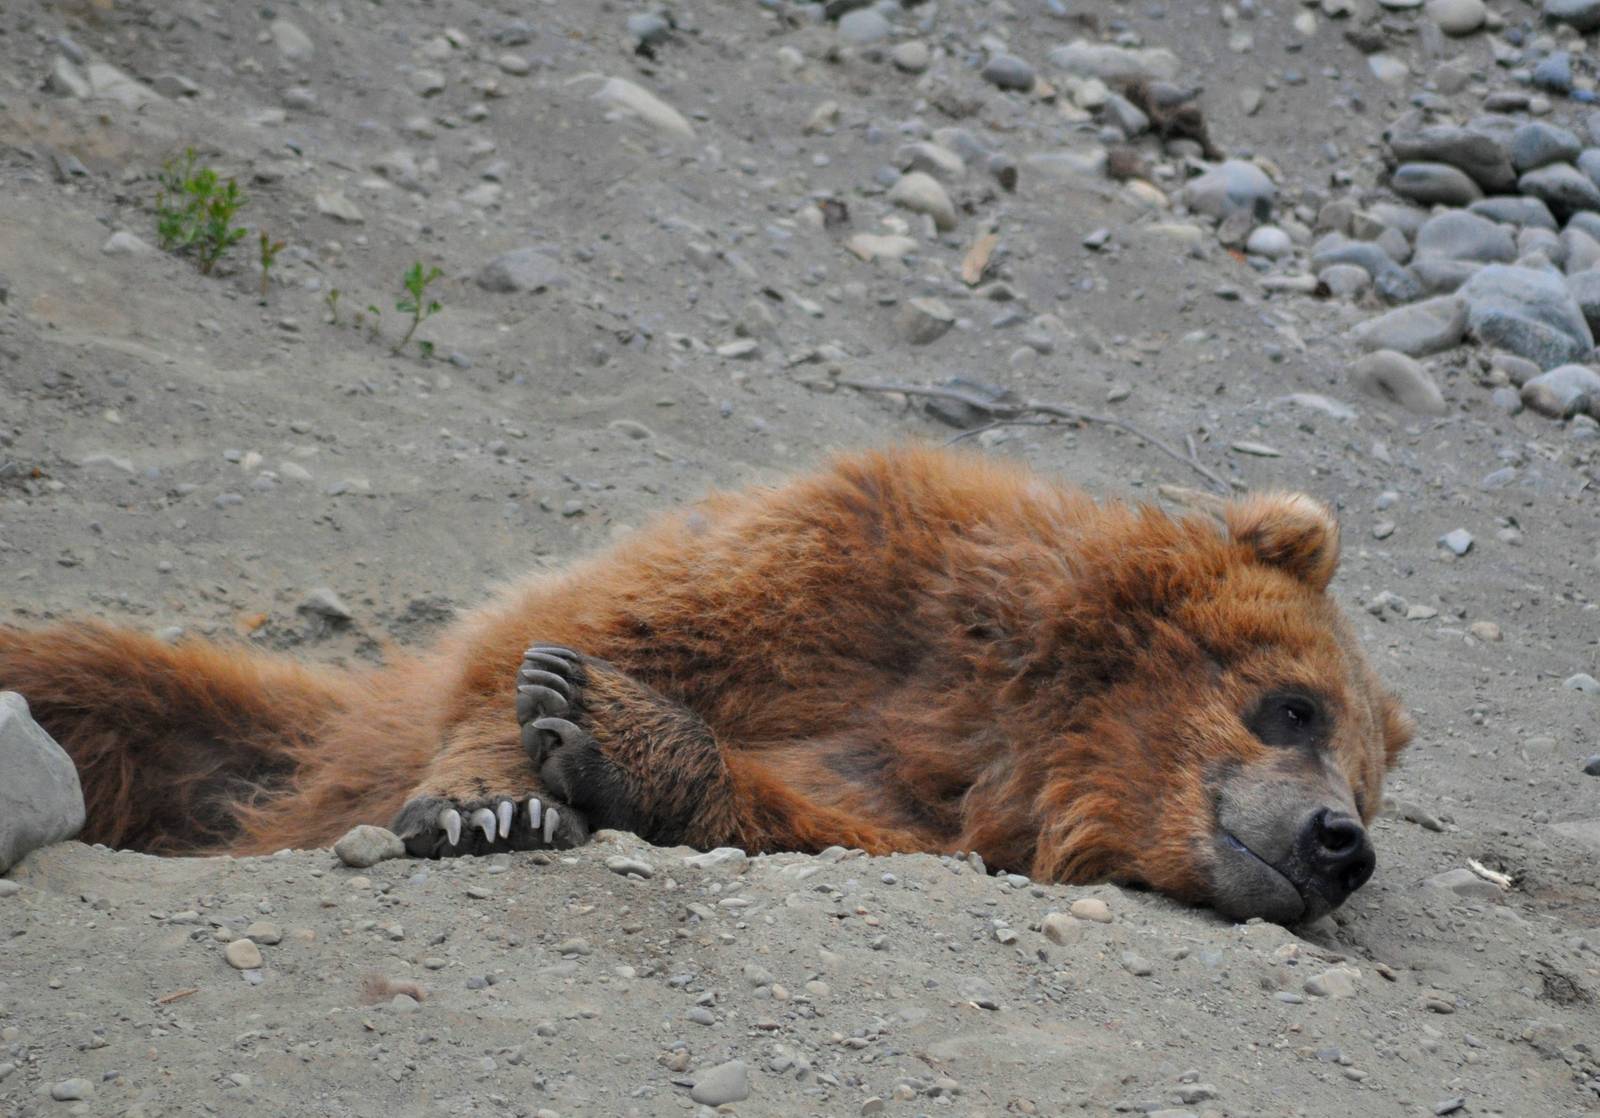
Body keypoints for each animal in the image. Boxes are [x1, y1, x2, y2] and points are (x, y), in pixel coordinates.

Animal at [0, 445, 1412, 924]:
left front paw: (614, 742)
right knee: (96, 680)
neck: (1019, 719)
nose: (1338, 843)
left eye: (1365, 783)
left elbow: (803, 810)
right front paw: (493, 795)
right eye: (1292, 704)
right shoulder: (856, 562)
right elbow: (602, 623)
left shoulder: (938, 809)